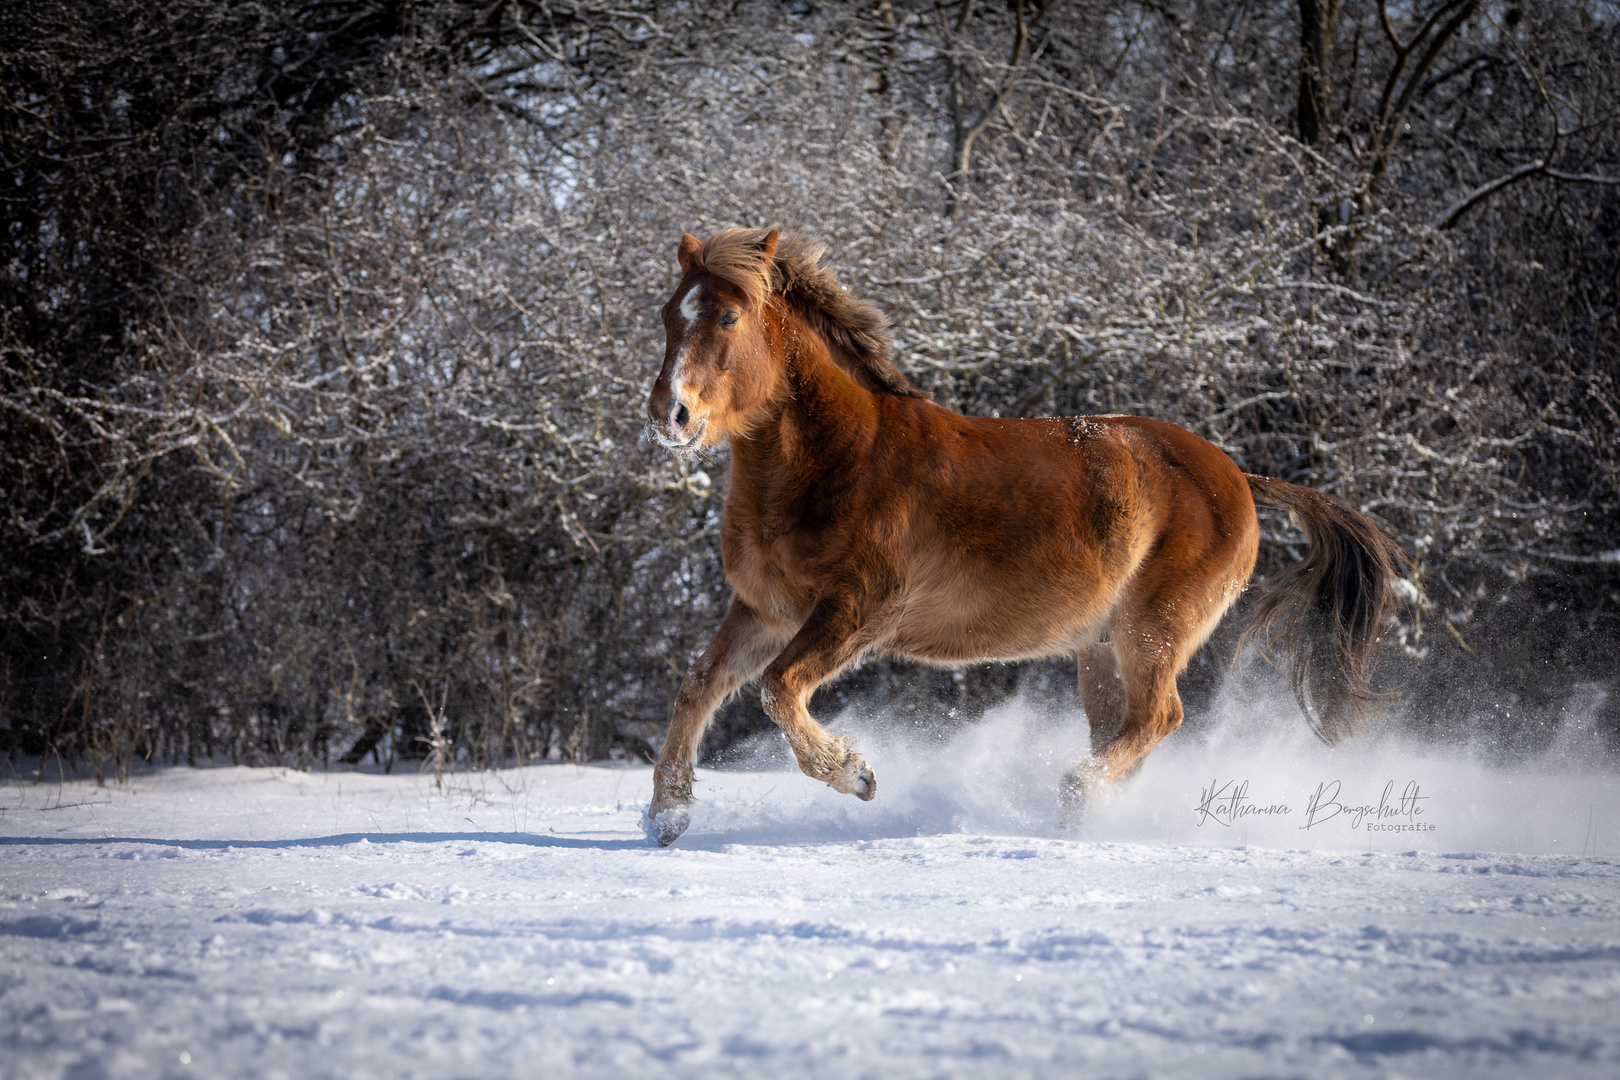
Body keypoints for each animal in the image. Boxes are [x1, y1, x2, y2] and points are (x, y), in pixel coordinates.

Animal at [638, 228, 1399, 848]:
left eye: (729, 315)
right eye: (670, 315)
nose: (670, 415)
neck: (838, 459)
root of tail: (1238, 475)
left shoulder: (857, 610)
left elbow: (777, 688)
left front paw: (855, 774)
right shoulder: (765, 609)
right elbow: (699, 684)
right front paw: (667, 817)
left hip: (1154, 629)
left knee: (1161, 716)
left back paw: (1070, 795)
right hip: (1101, 649)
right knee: (1129, 729)